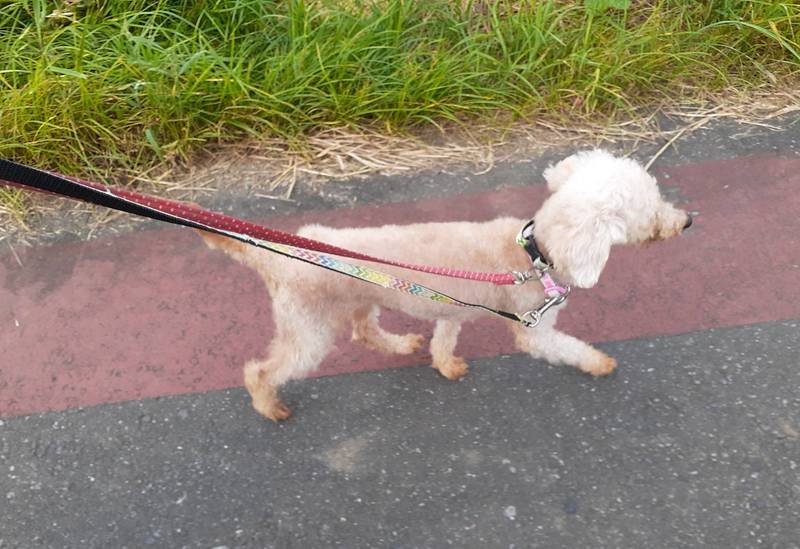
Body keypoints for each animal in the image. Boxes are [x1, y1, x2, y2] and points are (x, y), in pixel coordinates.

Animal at [198, 150, 692, 421]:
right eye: (651, 210)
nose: (688, 220)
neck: (535, 254)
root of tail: (268, 255)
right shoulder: (533, 330)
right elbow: (567, 348)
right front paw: (599, 363)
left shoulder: (453, 305)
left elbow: (445, 335)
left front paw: (444, 362)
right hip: (309, 330)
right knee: (263, 371)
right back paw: (269, 405)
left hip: (361, 294)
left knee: (365, 330)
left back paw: (400, 345)